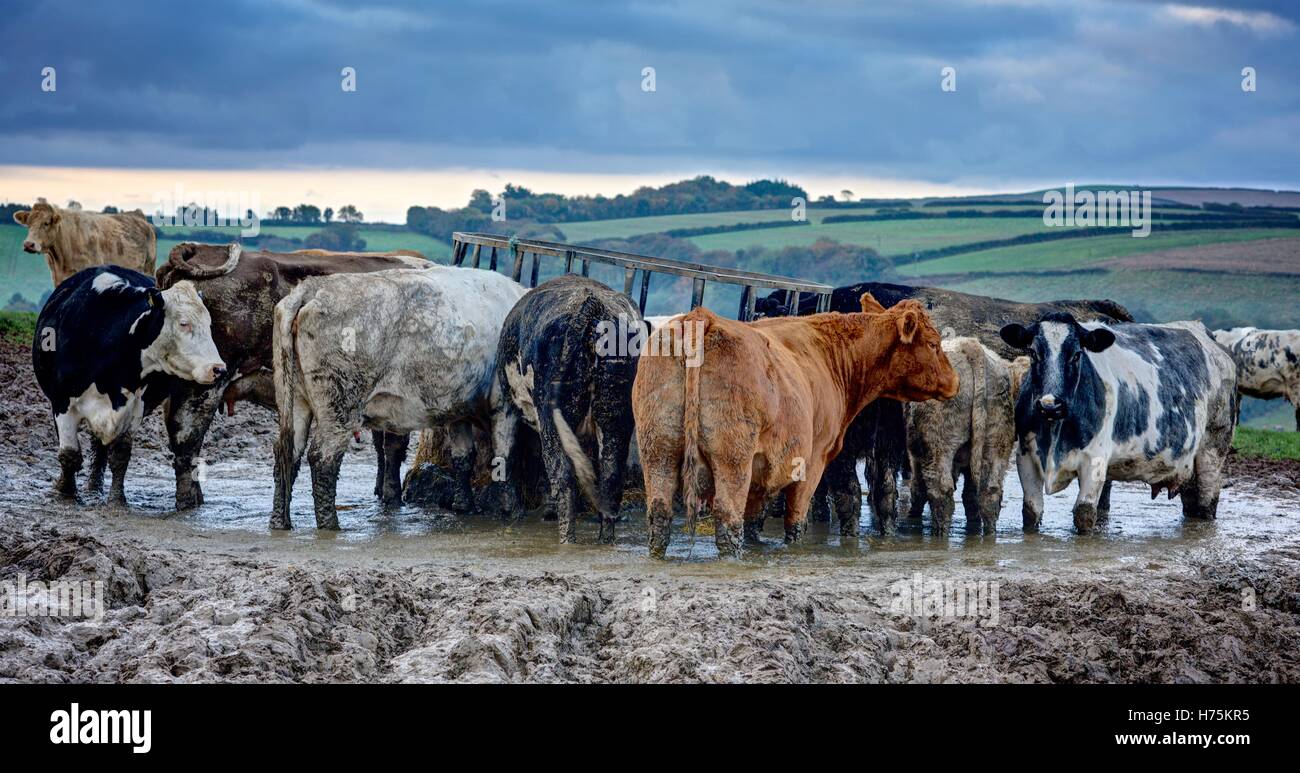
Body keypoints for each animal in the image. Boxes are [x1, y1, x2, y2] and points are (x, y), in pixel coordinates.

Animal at [32, 267, 226, 509]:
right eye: (184, 323)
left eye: (209, 325)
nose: (219, 369)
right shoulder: (62, 402)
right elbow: (69, 454)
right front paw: (65, 493)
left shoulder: (133, 408)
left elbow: (120, 456)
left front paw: (117, 500)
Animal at [491, 276, 639, 545]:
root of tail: (592, 304)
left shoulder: (507, 405)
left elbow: (505, 452)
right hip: (616, 412)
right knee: (611, 475)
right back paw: (605, 539)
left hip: (552, 415)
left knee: (562, 474)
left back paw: (566, 538)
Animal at [634, 294, 961, 556]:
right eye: (933, 344)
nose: (955, 380)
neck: (829, 354)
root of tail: (702, 318)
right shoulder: (813, 459)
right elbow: (796, 520)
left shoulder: (763, 470)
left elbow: (754, 520)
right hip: (732, 458)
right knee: (728, 518)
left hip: (657, 450)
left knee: (659, 513)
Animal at [998, 311, 1232, 535]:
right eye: (1033, 353)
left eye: (1077, 354)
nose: (1050, 405)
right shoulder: (1025, 457)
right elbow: (1031, 512)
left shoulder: (1095, 462)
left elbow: (1084, 513)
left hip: (1213, 450)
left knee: (1207, 503)